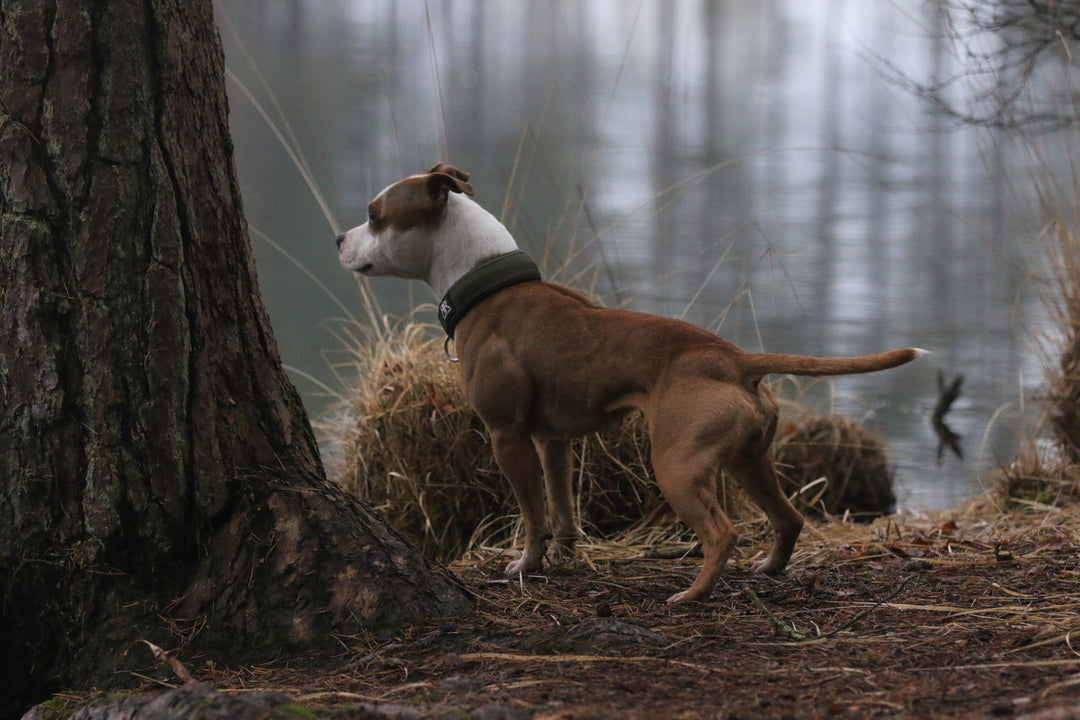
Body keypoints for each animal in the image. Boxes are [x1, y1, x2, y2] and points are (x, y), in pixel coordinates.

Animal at [334, 165, 920, 604]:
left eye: (374, 216)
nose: (339, 237)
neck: (486, 280)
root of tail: (735, 359)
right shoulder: (552, 441)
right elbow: (562, 509)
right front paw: (565, 557)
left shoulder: (508, 437)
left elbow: (532, 514)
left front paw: (525, 565)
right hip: (750, 460)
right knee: (789, 517)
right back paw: (769, 569)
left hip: (677, 464)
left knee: (722, 532)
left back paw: (693, 595)